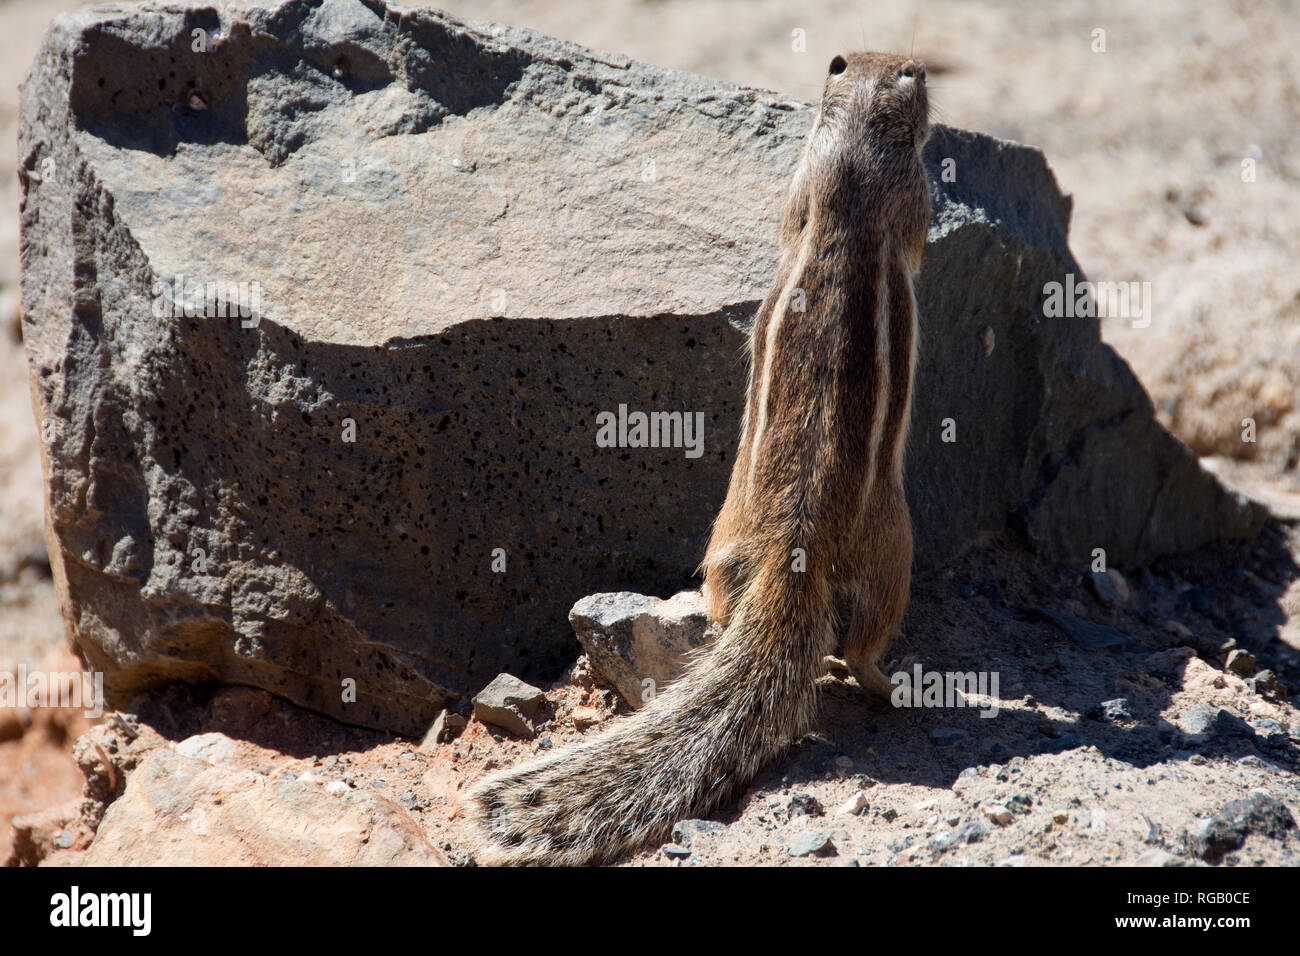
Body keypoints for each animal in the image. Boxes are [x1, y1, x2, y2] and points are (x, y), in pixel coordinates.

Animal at [473, 52, 930, 868]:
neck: (853, 149)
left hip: (725, 536)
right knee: (865, 640)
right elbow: (922, 233)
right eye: (916, 74)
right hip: (895, 547)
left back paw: (716, 630)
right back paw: (889, 685)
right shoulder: (906, 191)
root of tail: (792, 545)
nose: (925, 76)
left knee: (722, 595)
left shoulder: (802, 186)